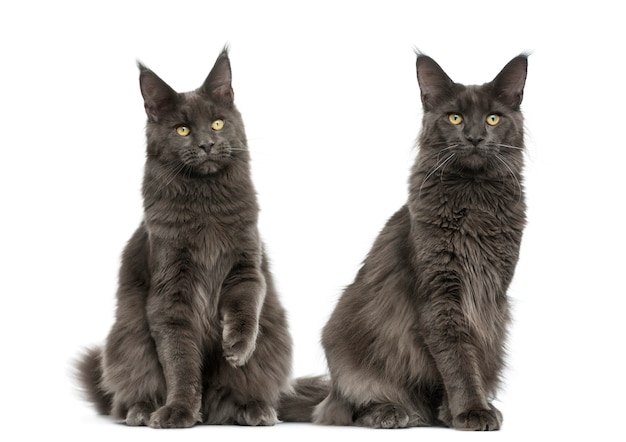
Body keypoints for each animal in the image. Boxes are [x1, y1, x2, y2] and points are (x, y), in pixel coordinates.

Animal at [77, 47, 292, 428]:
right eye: (182, 129)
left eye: (218, 123)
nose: (206, 144)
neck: (205, 205)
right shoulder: (169, 294)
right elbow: (180, 363)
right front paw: (178, 411)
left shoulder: (245, 267)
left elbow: (245, 307)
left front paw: (236, 347)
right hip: (128, 339)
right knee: (131, 389)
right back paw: (141, 411)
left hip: (274, 336)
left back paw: (254, 410)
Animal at [278, 52, 528, 432]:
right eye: (455, 117)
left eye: (493, 118)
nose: (474, 137)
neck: (474, 198)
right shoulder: (441, 293)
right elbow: (457, 359)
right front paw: (471, 411)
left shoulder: (491, 296)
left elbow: (473, 358)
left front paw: (461, 411)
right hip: (346, 344)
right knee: (350, 406)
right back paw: (391, 412)